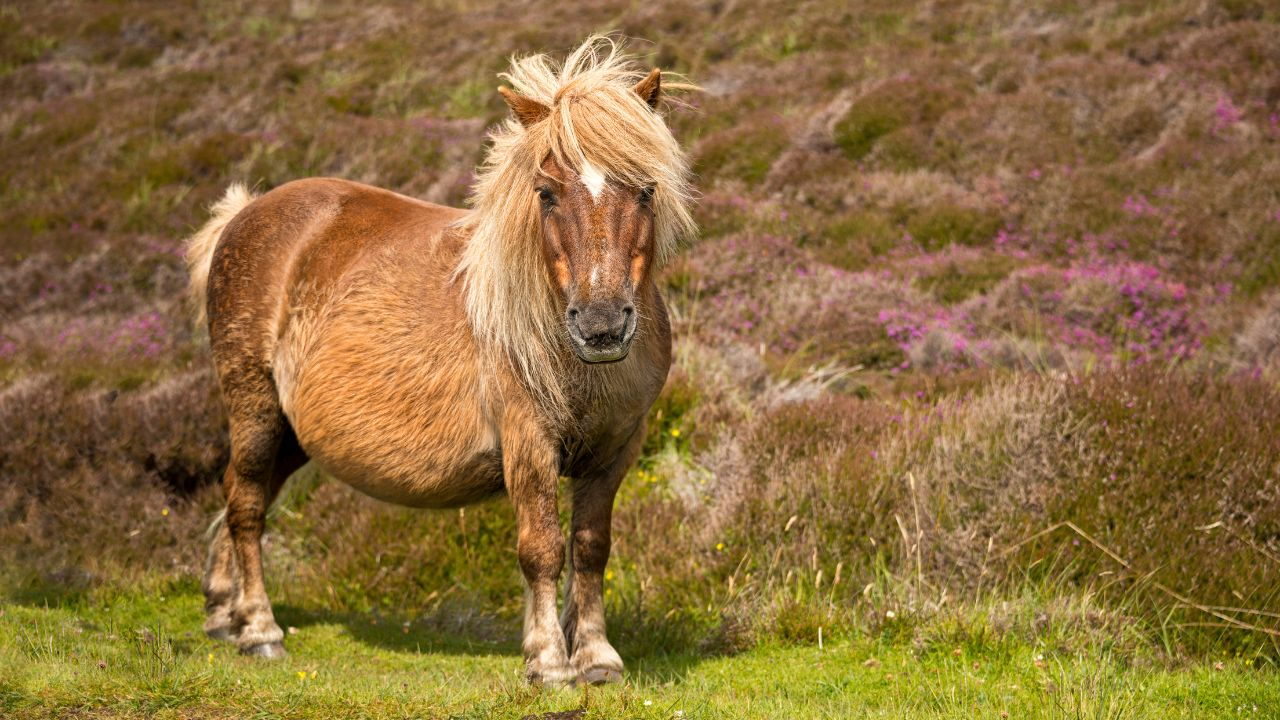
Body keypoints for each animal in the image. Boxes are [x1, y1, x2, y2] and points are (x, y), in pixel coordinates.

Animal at [183, 36, 696, 686]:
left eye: (646, 189)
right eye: (547, 193)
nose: (601, 325)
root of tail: (244, 215)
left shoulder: (614, 452)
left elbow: (590, 547)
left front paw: (596, 657)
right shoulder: (529, 443)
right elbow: (541, 548)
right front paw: (549, 661)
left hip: (294, 434)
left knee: (240, 495)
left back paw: (222, 613)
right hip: (254, 408)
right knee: (247, 503)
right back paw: (258, 630)